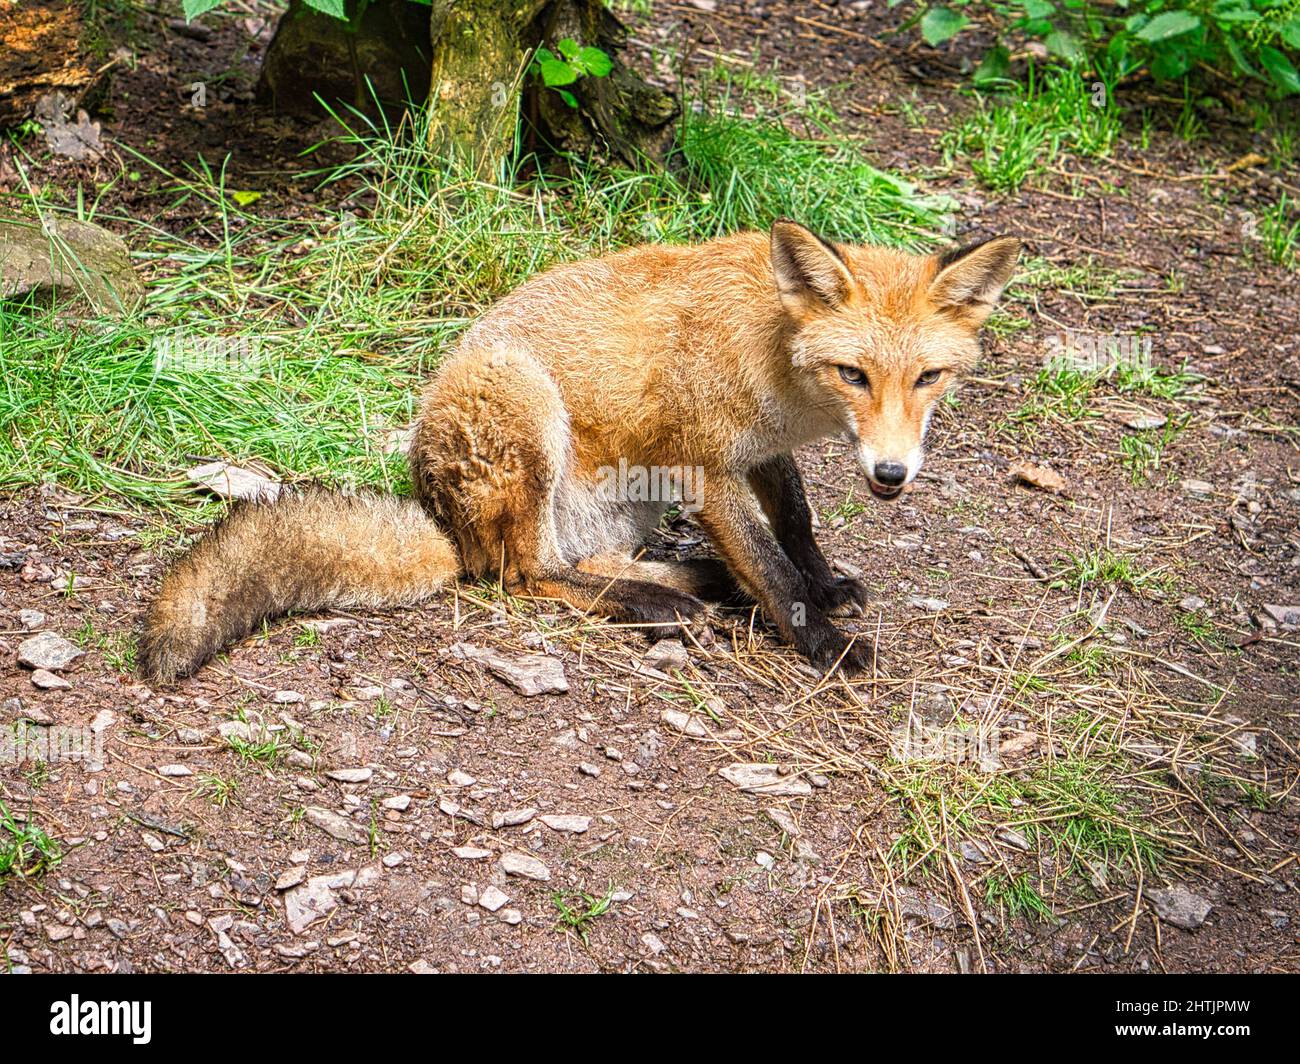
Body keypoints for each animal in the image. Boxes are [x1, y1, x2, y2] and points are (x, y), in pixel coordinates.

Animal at [139, 220, 1020, 684]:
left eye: (930, 377)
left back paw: (690, 583)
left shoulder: (757, 452)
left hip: (628, 504)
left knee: (583, 562)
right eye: (854, 374)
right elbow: (771, 568)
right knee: (526, 574)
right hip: (526, 415)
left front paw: (824, 584)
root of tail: (442, 522)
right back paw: (661, 603)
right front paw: (822, 642)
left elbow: (796, 526)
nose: (891, 475)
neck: (778, 367)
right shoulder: (707, 466)